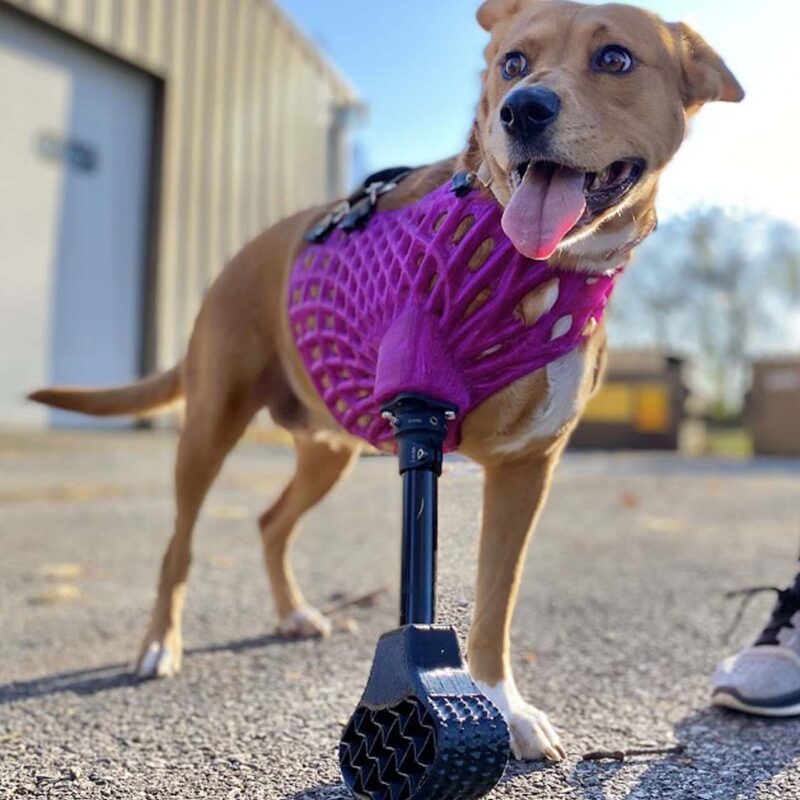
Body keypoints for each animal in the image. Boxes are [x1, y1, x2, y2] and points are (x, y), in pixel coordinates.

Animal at [31, 1, 744, 764]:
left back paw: (292, 613)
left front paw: (506, 707)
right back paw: (160, 644)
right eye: (513, 62)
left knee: (270, 521)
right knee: (179, 543)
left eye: (615, 59)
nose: (522, 109)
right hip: (210, 427)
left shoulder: (527, 466)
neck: (539, 267)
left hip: (327, 453)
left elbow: (497, 599)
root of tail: (244, 251)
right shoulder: (420, 423)